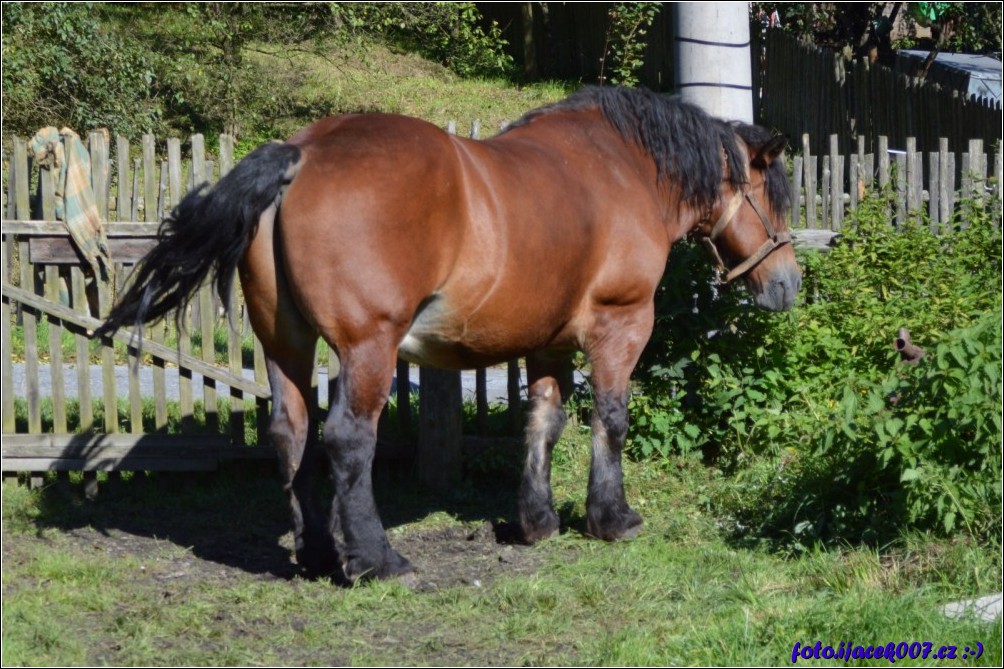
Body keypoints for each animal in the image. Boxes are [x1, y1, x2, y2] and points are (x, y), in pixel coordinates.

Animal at [94, 87, 799, 578]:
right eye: (775, 196)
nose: (789, 284)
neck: (624, 168)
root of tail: (302, 152)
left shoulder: (546, 340)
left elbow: (543, 423)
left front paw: (537, 520)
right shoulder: (621, 323)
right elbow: (611, 418)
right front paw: (612, 517)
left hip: (284, 344)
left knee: (291, 433)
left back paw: (319, 553)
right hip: (368, 346)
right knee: (348, 438)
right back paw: (376, 559)